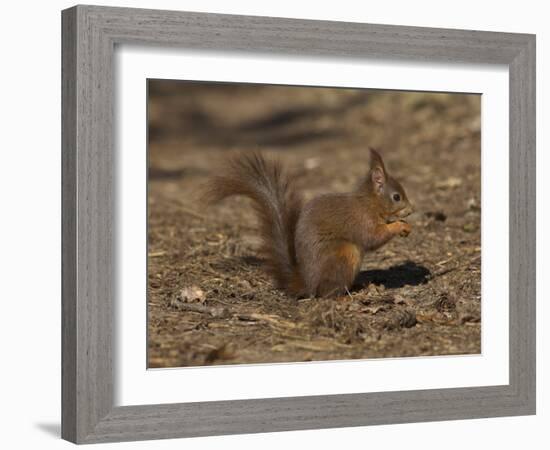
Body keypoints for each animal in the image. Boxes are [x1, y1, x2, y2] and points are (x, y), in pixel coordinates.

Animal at [204, 148, 414, 300]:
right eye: (397, 197)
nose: (411, 211)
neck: (371, 202)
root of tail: (307, 283)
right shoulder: (362, 219)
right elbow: (373, 237)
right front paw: (400, 226)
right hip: (345, 255)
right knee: (326, 294)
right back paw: (343, 297)